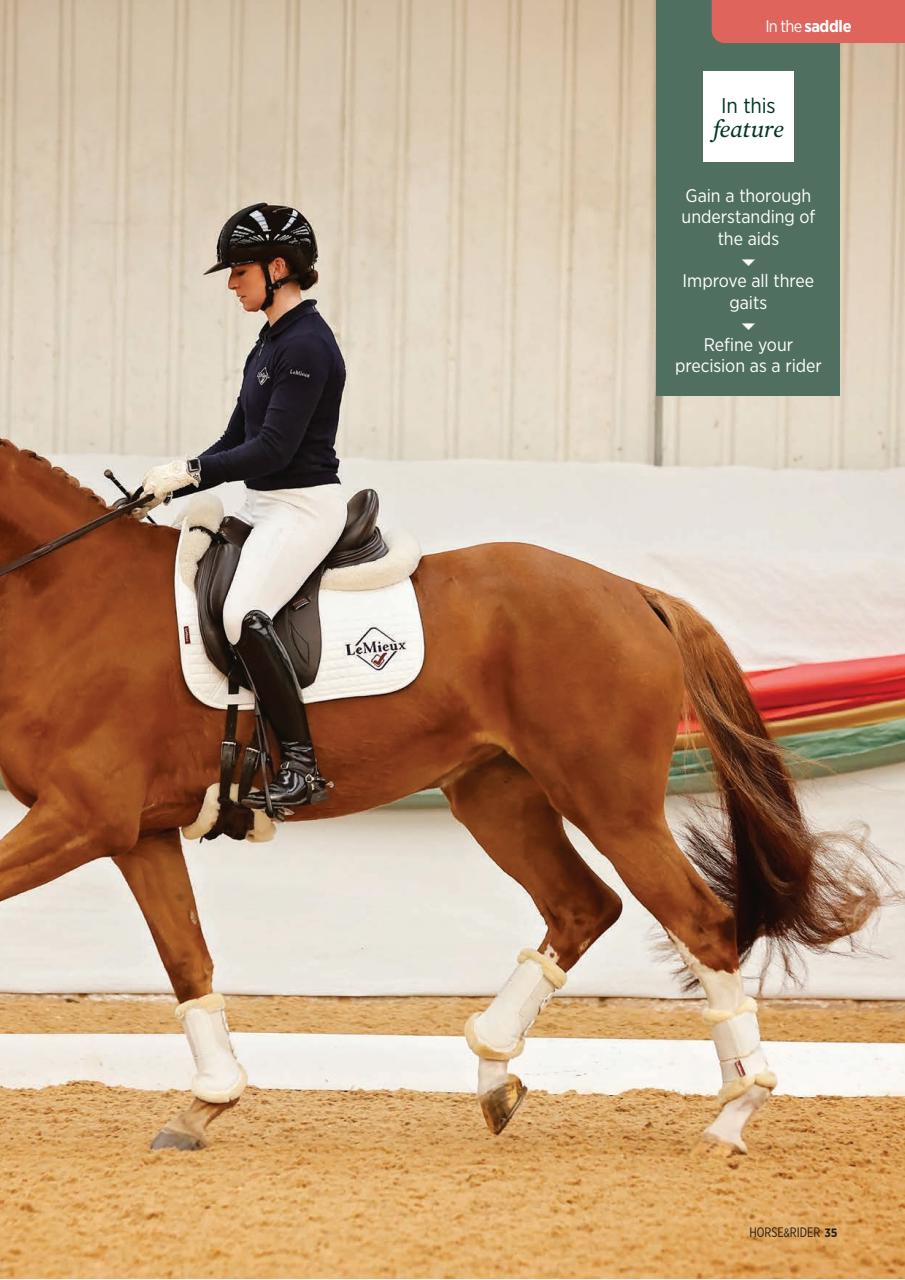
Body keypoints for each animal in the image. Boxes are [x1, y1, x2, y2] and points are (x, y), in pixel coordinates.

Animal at [0, 438, 883, 1153]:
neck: (68, 596)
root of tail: (633, 593)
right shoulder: (134, 831)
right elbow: (187, 958)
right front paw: (205, 1105)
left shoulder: (82, 817)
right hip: (495, 795)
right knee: (582, 906)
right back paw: (494, 1072)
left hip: (610, 803)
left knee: (696, 920)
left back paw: (733, 1113)